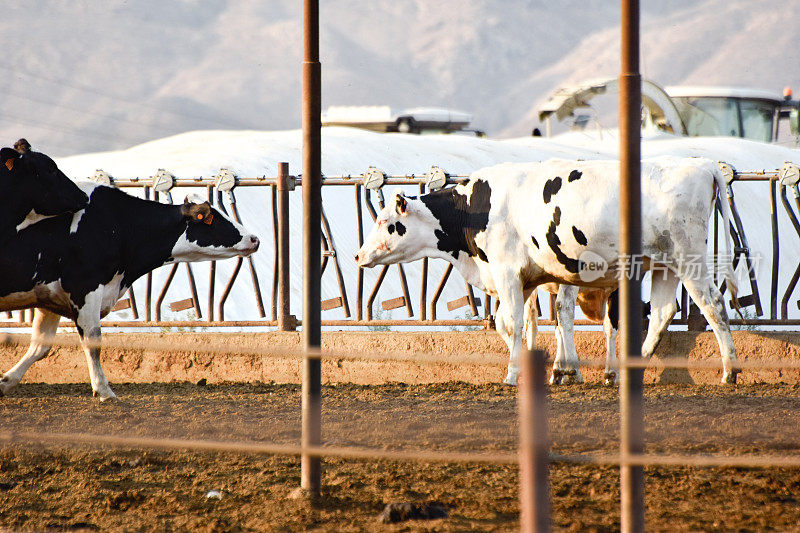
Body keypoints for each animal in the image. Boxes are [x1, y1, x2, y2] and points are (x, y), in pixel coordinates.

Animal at [0, 181, 260, 396]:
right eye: (209, 218)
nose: (254, 239)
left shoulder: (49, 296)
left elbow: (41, 345)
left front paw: (6, 381)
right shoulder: (85, 286)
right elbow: (93, 340)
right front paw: (103, 390)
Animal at [356, 156, 736, 384]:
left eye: (386, 222)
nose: (358, 255)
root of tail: (701, 164)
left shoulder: (507, 270)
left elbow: (514, 323)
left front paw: (514, 375)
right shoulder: (525, 280)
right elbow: (518, 325)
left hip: (688, 258)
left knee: (713, 305)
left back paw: (729, 371)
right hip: (663, 264)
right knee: (661, 312)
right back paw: (629, 371)